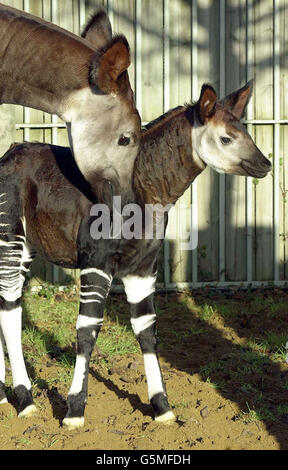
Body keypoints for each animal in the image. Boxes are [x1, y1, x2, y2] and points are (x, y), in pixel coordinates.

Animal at [0, 80, 272, 430]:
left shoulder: (142, 267)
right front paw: (74, 411)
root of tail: (7, 155)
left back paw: (5, 396)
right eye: (226, 137)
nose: (266, 164)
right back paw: (26, 400)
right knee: (11, 311)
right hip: (10, 237)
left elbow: (147, 330)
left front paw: (162, 407)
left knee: (5, 304)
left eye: (246, 131)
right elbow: (87, 331)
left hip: (26, 247)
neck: (145, 191)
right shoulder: (97, 262)